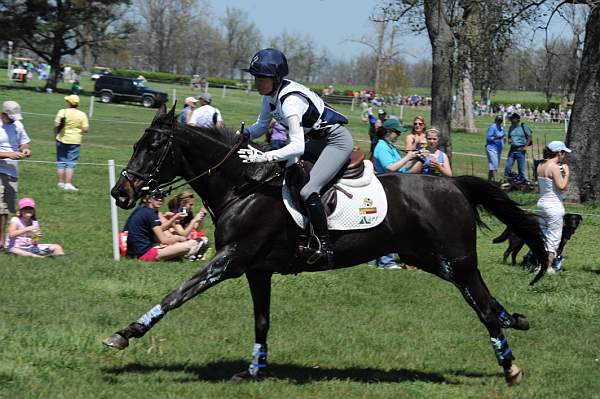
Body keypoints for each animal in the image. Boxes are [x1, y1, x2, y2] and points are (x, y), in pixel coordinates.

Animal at [104, 104, 548, 386]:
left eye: (153, 148)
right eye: (137, 145)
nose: (120, 193)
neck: (242, 187)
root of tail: (454, 184)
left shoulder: (229, 261)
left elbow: (178, 293)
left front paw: (125, 334)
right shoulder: (256, 270)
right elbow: (261, 321)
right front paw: (254, 370)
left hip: (455, 261)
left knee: (484, 308)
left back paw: (510, 366)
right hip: (430, 259)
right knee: (487, 303)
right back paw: (515, 322)